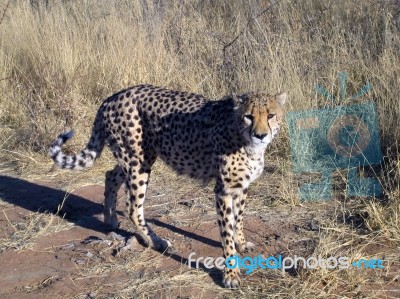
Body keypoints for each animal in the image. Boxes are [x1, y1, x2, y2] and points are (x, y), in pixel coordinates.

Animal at [50, 84, 286, 288]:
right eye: (249, 116)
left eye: (270, 115)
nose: (260, 135)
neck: (245, 141)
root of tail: (114, 96)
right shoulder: (224, 190)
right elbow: (226, 231)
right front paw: (231, 274)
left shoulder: (241, 186)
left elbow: (239, 219)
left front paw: (241, 243)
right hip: (139, 161)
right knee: (133, 207)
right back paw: (155, 241)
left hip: (134, 158)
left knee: (111, 175)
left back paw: (110, 219)